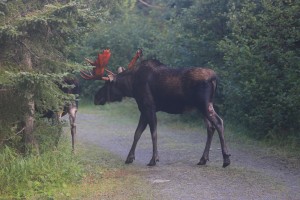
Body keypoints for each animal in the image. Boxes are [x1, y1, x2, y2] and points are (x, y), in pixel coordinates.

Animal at [81, 48, 231, 167]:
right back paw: (203, 159)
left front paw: (153, 159)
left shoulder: (149, 107)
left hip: (204, 105)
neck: (131, 86)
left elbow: (153, 133)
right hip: (201, 107)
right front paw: (129, 158)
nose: (96, 97)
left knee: (219, 122)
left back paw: (226, 159)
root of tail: (214, 78)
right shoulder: (143, 109)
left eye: (107, 84)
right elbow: (137, 133)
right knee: (210, 128)